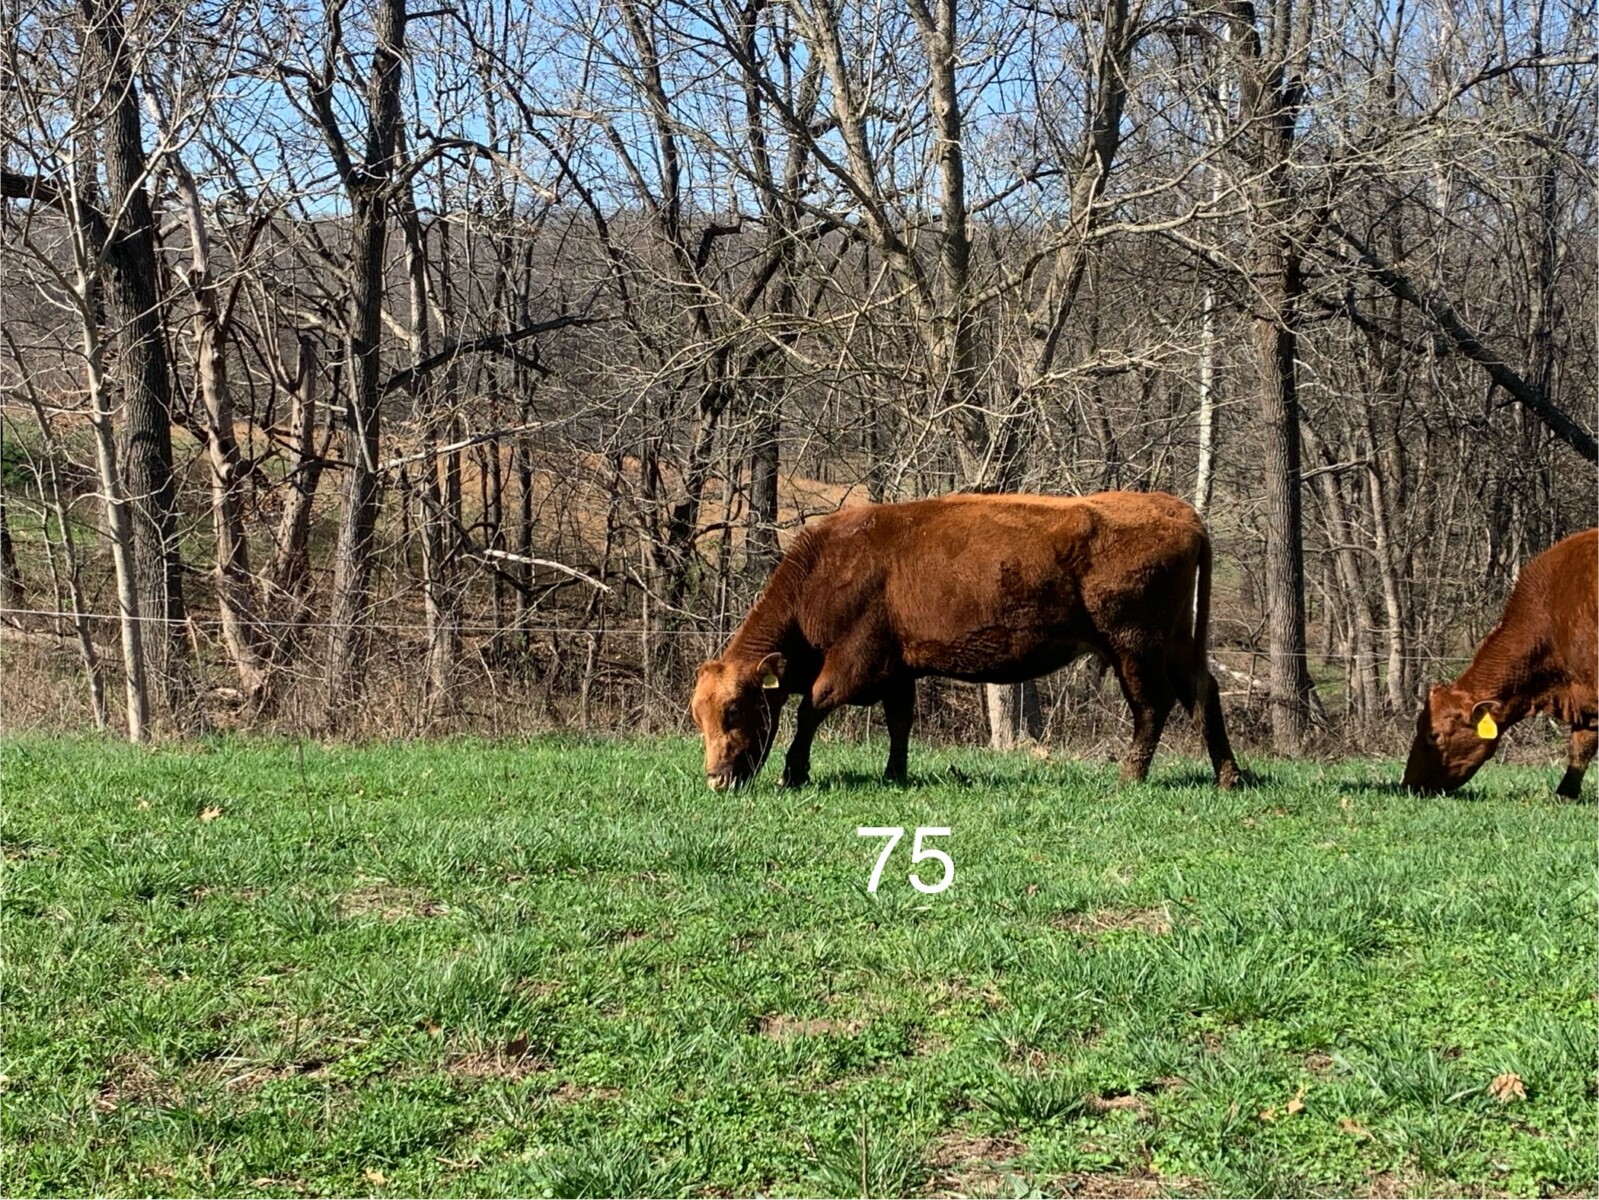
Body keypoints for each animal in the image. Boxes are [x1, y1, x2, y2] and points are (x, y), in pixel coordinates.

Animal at [691, 490, 1241, 791]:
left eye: (734, 710)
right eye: (698, 715)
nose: (715, 778)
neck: (828, 567)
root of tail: (1179, 511)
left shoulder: (855, 663)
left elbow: (812, 708)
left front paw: (794, 771)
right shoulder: (898, 669)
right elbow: (899, 722)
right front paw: (895, 773)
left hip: (1134, 647)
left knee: (1153, 705)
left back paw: (1130, 777)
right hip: (1175, 643)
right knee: (1202, 692)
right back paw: (1229, 776)